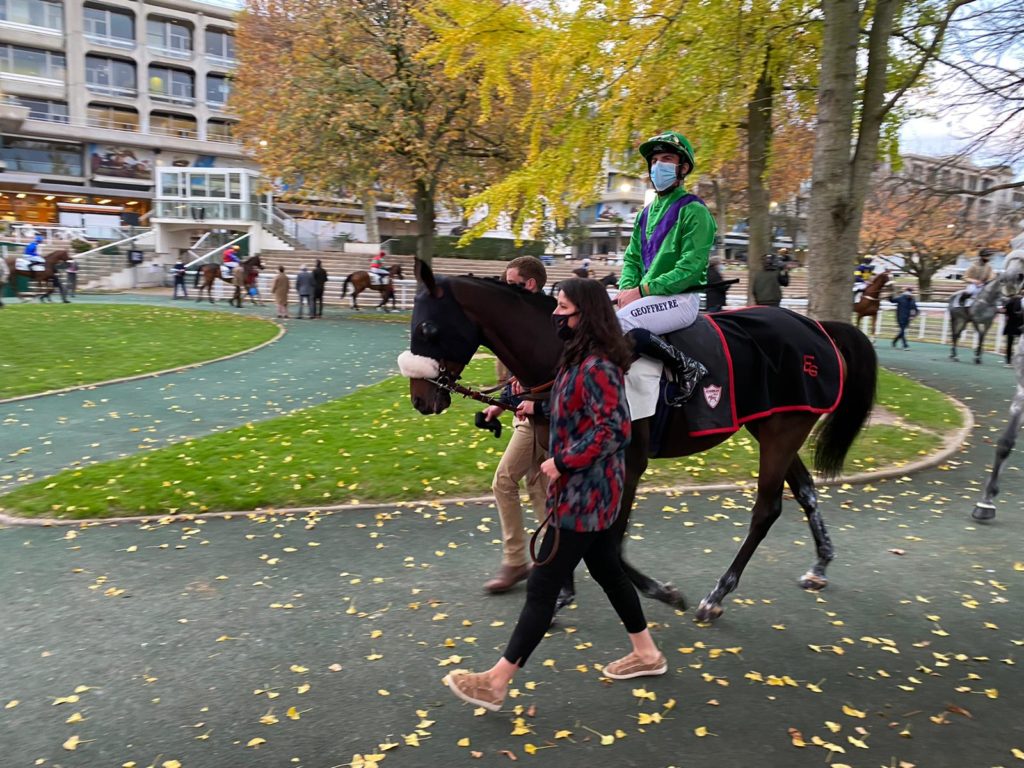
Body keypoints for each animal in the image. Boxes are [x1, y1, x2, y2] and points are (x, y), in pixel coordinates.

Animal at [399, 264, 880, 626]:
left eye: (427, 326)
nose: (421, 399)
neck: (570, 355)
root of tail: (813, 325)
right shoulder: (565, 454)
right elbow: (568, 523)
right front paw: (560, 591)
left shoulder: (627, 464)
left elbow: (608, 542)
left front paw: (661, 591)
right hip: (773, 427)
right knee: (805, 491)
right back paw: (820, 565)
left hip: (782, 431)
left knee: (767, 509)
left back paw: (717, 595)